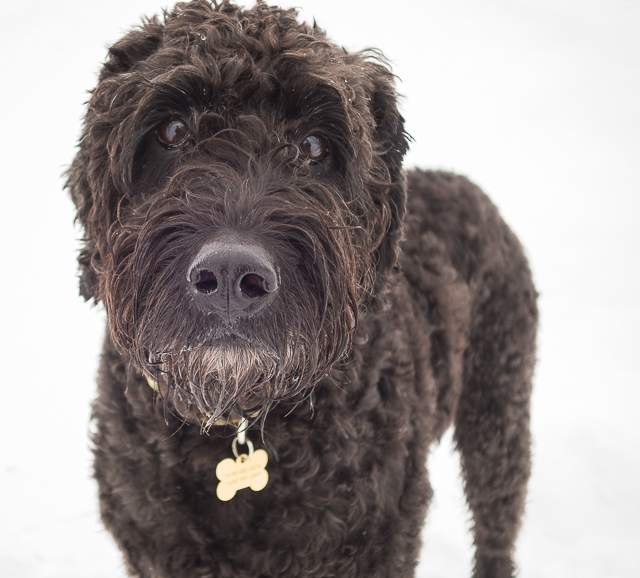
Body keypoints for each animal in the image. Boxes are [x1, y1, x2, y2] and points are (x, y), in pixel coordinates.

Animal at [67, 1, 537, 576]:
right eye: (173, 130)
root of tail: (465, 185)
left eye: (314, 145)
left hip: (498, 418)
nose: (230, 276)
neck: (237, 424)